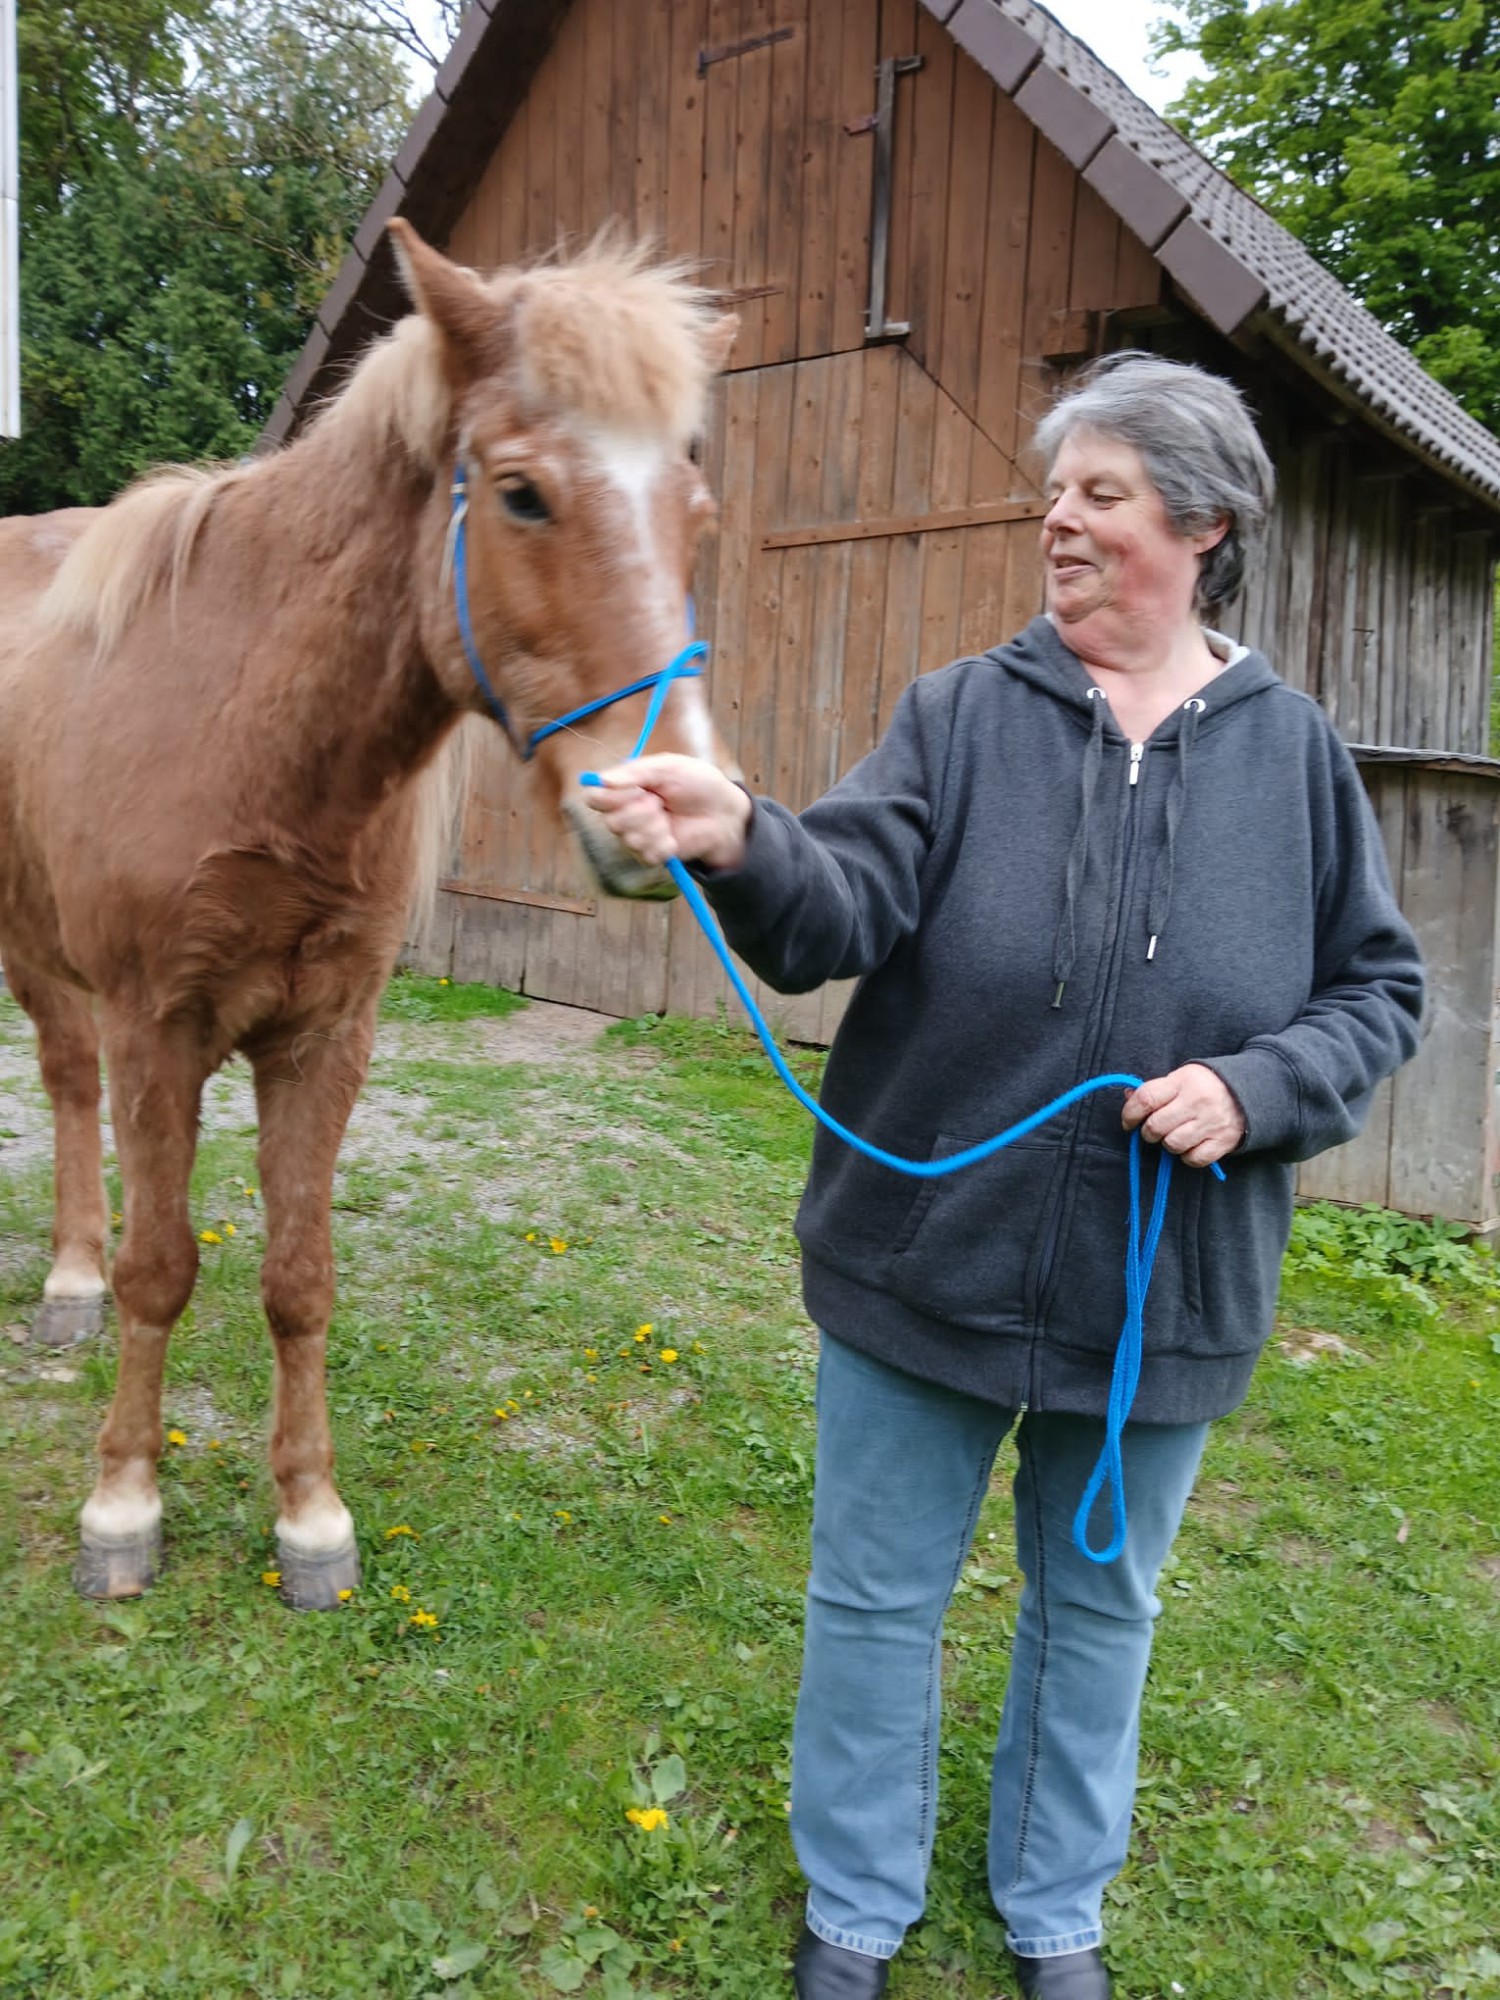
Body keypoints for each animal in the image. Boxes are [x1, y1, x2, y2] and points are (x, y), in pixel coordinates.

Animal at [0, 220, 739, 1609]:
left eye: (697, 516)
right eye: (521, 493)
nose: (671, 808)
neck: (252, 730)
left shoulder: (325, 1036)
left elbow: (299, 1280)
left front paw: (310, 1518)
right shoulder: (154, 1029)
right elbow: (159, 1268)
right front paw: (122, 1506)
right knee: (67, 1083)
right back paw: (71, 1282)